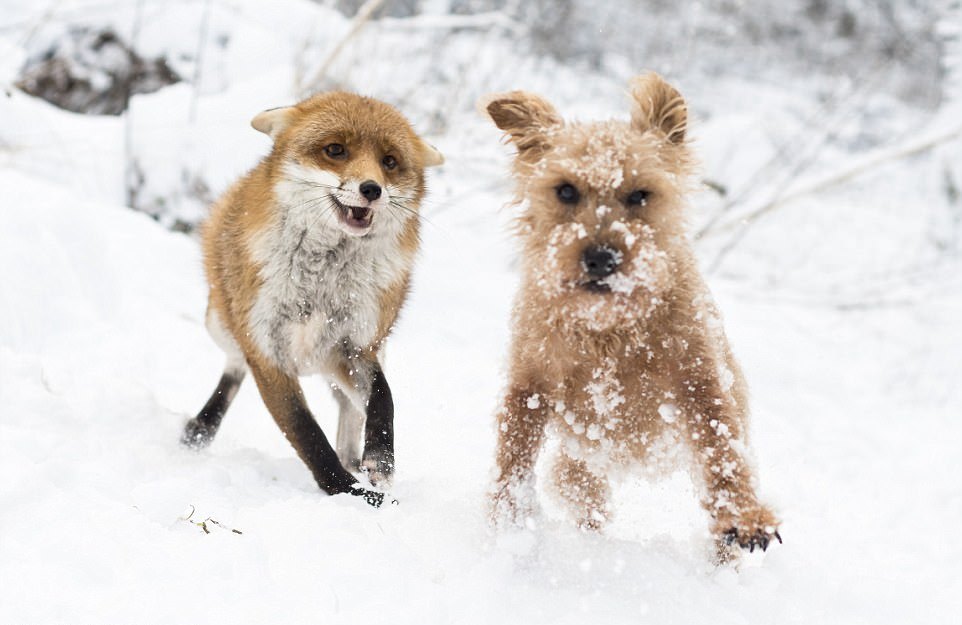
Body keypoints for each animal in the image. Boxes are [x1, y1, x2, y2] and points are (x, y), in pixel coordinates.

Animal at [180, 89, 442, 508]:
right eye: (335, 150)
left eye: (389, 161)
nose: (372, 189)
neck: (321, 285)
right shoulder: (267, 353)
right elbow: (309, 436)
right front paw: (349, 494)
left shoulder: (354, 347)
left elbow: (382, 399)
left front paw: (379, 460)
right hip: (220, 323)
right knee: (234, 366)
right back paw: (202, 426)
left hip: (356, 353)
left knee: (350, 409)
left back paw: (355, 455)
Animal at [488, 73, 780, 560]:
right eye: (565, 190)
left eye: (640, 194)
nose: (601, 258)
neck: (608, 329)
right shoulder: (530, 385)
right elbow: (513, 457)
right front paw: (505, 524)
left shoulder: (698, 381)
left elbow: (721, 448)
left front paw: (744, 516)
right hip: (578, 470)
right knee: (583, 496)